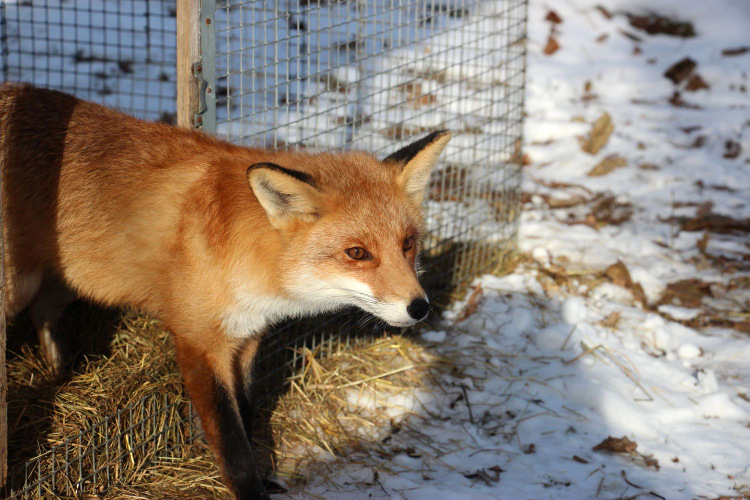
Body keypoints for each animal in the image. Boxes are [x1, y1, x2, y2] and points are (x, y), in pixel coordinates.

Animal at [0, 84, 452, 498]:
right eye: (357, 253)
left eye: (408, 244)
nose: (419, 308)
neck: (248, 263)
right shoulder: (199, 343)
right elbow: (230, 438)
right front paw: (248, 491)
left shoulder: (246, 338)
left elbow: (245, 416)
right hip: (18, 289)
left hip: (70, 280)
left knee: (43, 313)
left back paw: (60, 369)